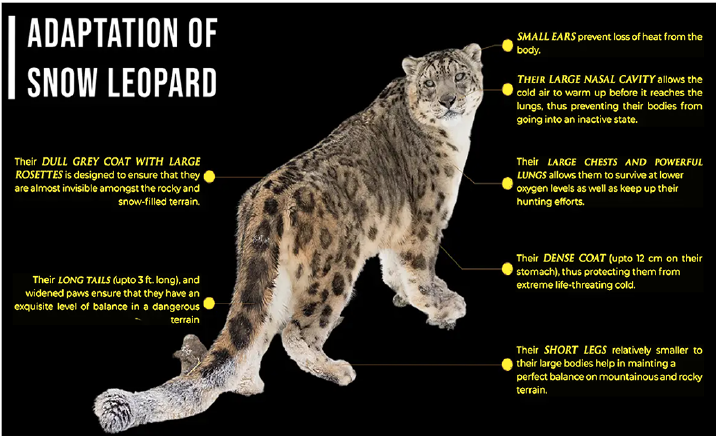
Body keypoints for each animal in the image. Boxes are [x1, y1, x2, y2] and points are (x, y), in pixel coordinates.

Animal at [94, 43, 485, 433]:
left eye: (459, 75)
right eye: (430, 82)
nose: (448, 100)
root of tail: (264, 199)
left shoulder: (396, 232)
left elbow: (393, 270)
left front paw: (414, 297)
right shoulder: (425, 223)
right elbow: (419, 273)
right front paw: (443, 307)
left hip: (273, 278)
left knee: (258, 330)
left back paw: (249, 381)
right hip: (334, 269)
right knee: (296, 330)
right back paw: (336, 369)